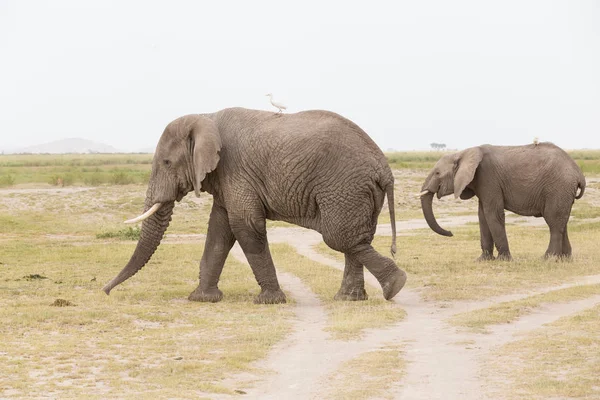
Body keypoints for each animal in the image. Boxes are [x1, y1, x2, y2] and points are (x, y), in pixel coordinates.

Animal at [104, 107, 408, 304]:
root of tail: (384, 168)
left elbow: (245, 226)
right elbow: (219, 230)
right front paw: (201, 299)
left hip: (345, 187)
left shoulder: (235, 169)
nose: (105, 291)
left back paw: (395, 287)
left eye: (167, 163)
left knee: (340, 238)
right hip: (359, 192)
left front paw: (269, 301)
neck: (206, 117)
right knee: (356, 239)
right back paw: (350, 299)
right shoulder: (227, 178)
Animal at [420, 142, 584, 260]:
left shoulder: (488, 178)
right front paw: (483, 260)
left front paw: (504, 259)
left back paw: (548, 258)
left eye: (437, 173)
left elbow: (492, 214)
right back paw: (565, 258)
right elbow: (482, 216)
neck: (463, 153)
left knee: (553, 221)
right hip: (562, 190)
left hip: (558, 187)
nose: (451, 233)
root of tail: (579, 173)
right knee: (561, 221)